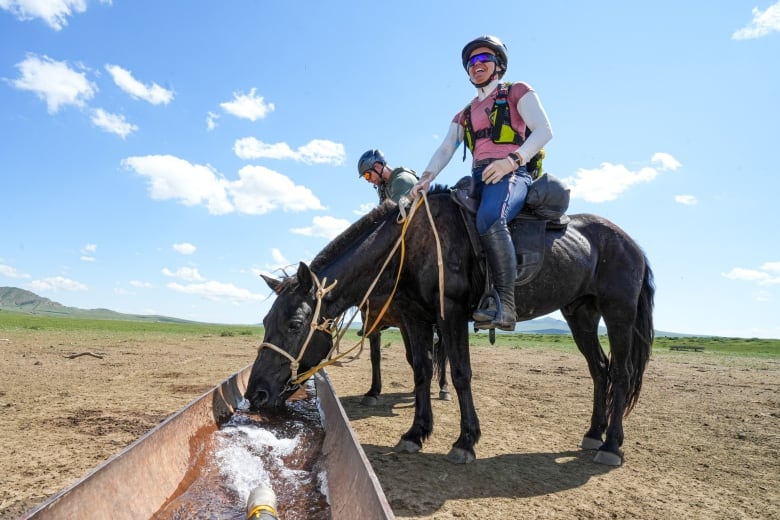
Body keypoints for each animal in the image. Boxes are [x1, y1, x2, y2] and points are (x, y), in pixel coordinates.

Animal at [247, 187, 656, 468]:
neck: (408, 245)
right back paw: (593, 433)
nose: (256, 393)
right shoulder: (416, 318)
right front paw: (416, 432)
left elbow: (460, 374)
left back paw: (611, 445)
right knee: (600, 370)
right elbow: (421, 371)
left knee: (621, 373)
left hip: (618, 313)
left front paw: (465, 441)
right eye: (266, 322)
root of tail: (632, 244)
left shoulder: (451, 314)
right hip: (580, 314)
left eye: (295, 323)